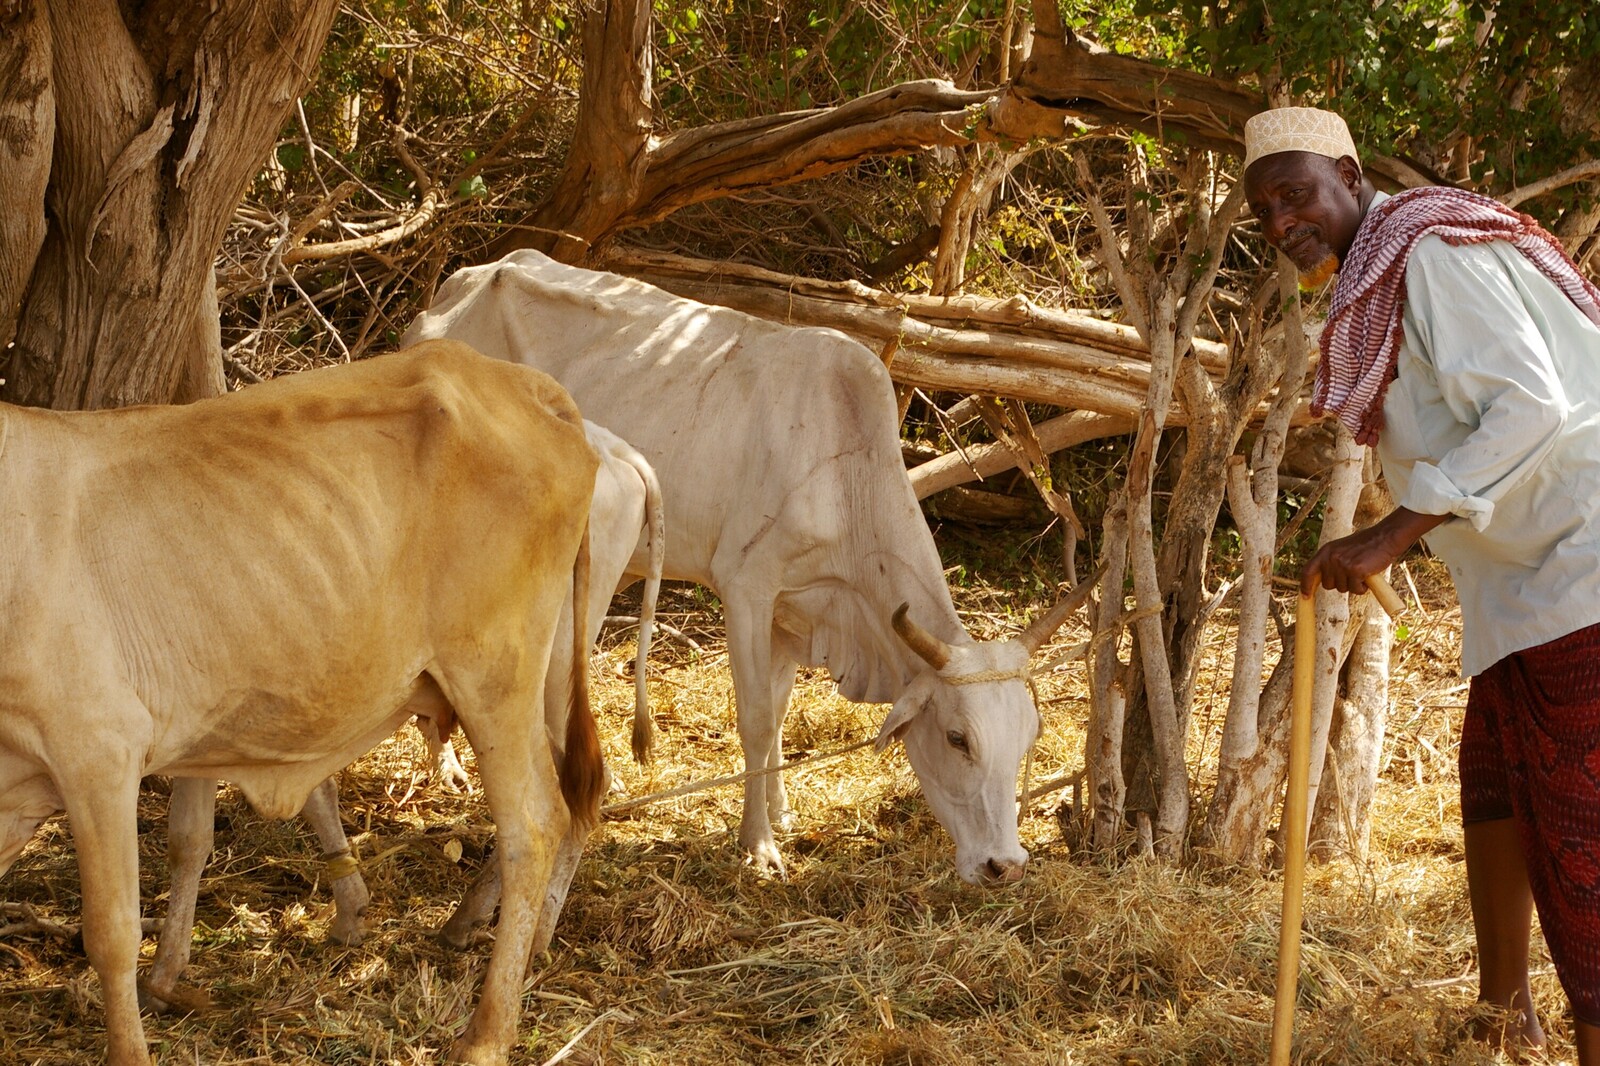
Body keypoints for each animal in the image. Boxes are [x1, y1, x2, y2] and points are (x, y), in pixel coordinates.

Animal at [0, 340, 601, 1062]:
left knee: (532, 826)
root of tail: (521, 383)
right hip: (546, 673)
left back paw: (485, 1034)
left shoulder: (97, 752)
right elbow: (186, 842)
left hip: (493, 673)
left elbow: (111, 931)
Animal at [406, 249, 1094, 877]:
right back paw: (453, 768)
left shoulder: (794, 614)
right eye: (958, 738)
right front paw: (758, 844)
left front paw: (782, 812)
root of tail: (459, 286)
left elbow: (781, 712)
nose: (1005, 865)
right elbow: (757, 720)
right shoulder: (746, 590)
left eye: (1028, 736)